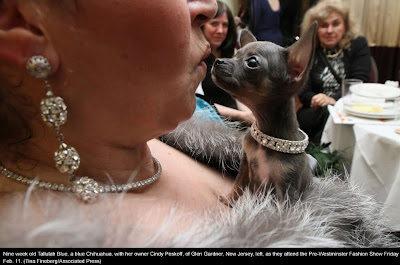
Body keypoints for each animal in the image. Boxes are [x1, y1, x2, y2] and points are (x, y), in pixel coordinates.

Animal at [211, 21, 318, 203]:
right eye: (236, 54)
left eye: (252, 62)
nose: (217, 60)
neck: (267, 138)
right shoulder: (246, 164)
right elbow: (238, 185)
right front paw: (228, 200)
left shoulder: (286, 191)